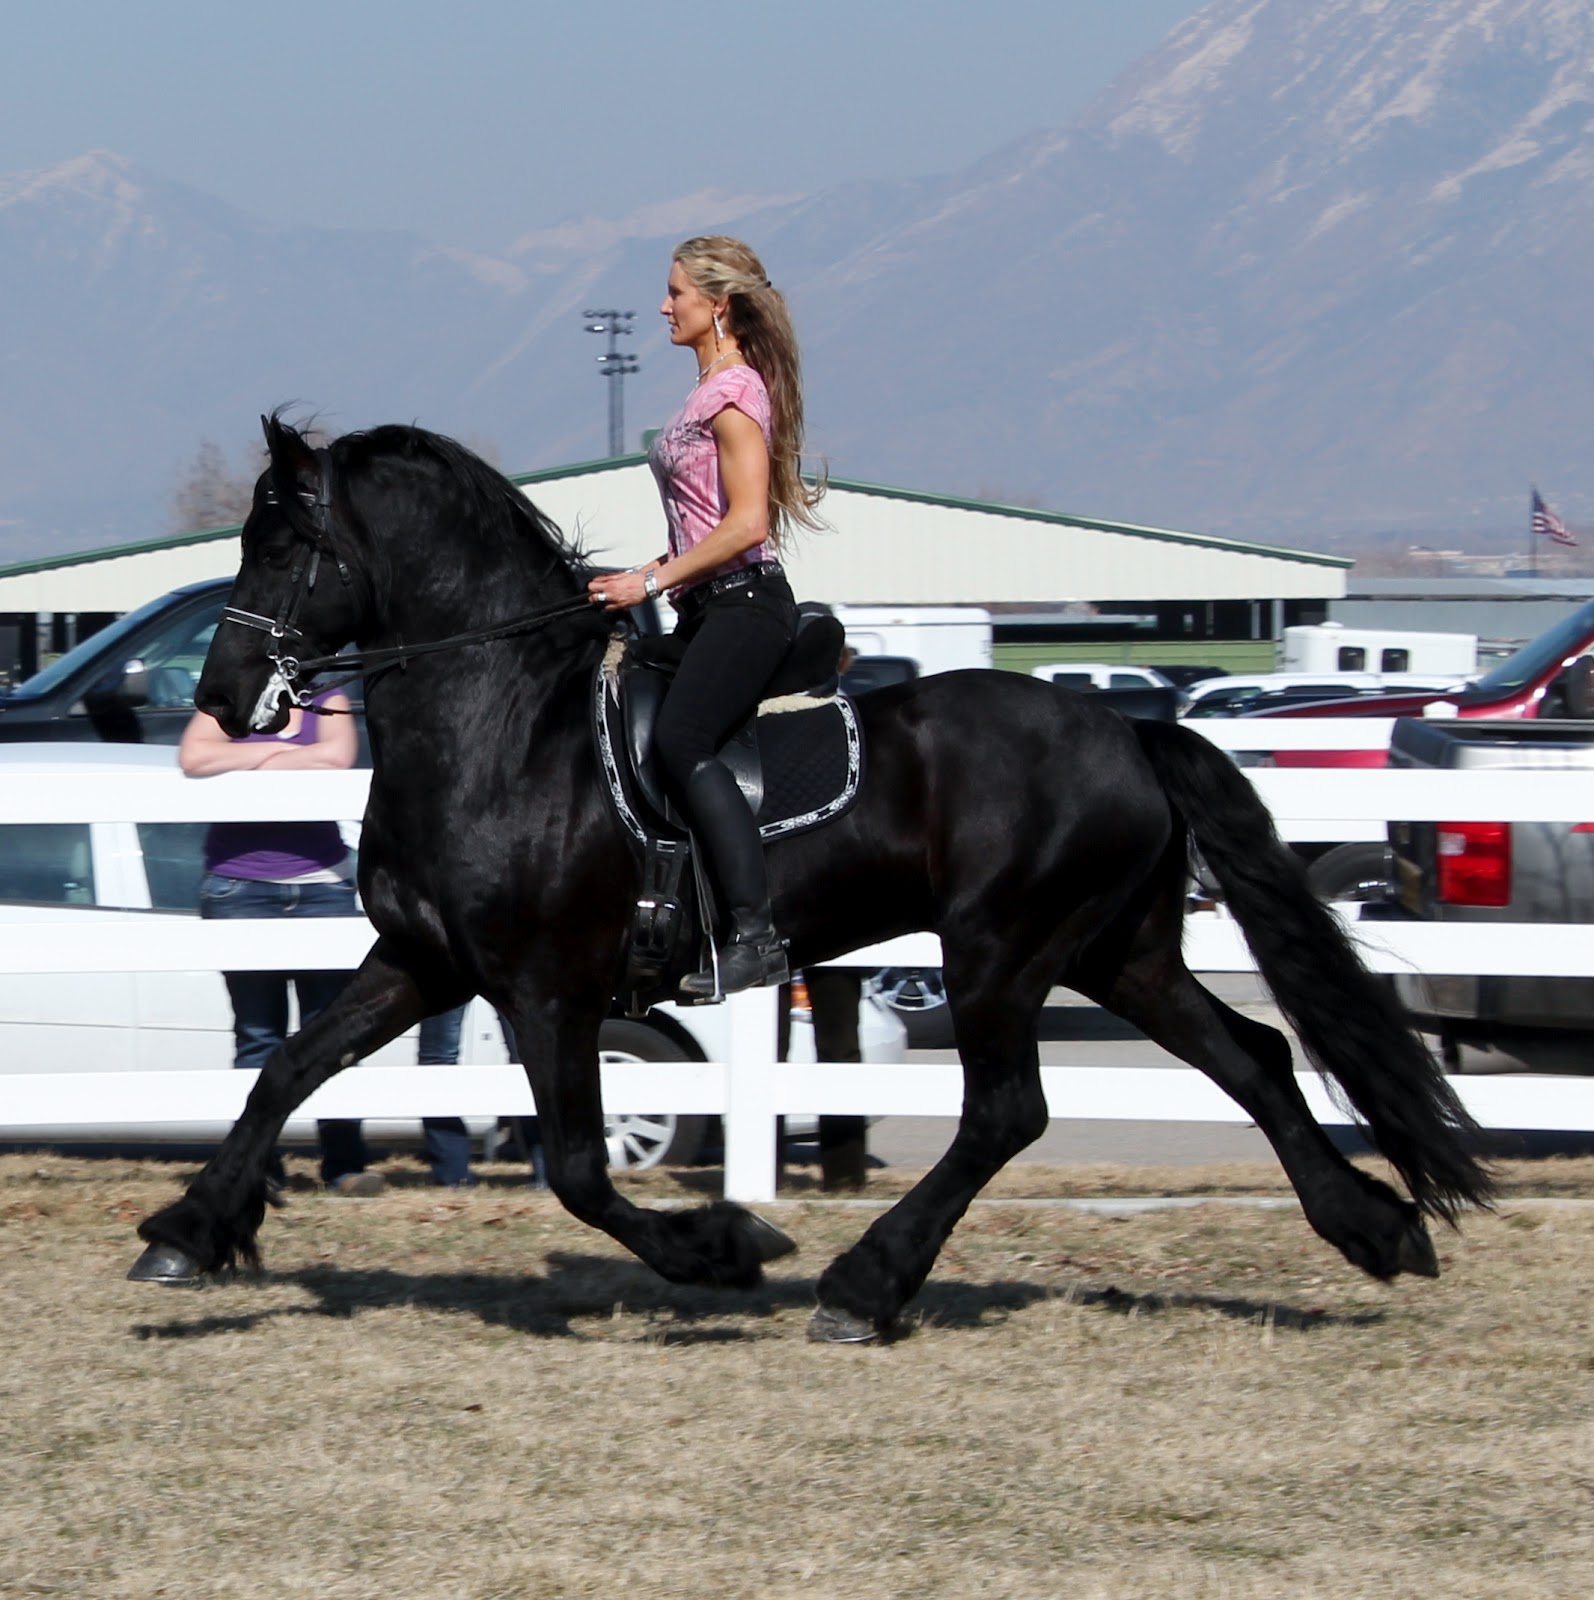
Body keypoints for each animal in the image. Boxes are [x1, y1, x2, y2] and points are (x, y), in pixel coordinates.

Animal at [129, 415, 1493, 1342]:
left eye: (286, 545)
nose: (222, 701)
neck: (504, 727)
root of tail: (1129, 730)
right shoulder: (421, 961)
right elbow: (285, 1073)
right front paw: (188, 1233)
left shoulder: (547, 991)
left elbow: (577, 1166)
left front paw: (726, 1248)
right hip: (1119, 950)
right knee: (1250, 1059)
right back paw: (1377, 1229)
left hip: (1001, 948)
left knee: (1007, 1111)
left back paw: (862, 1285)